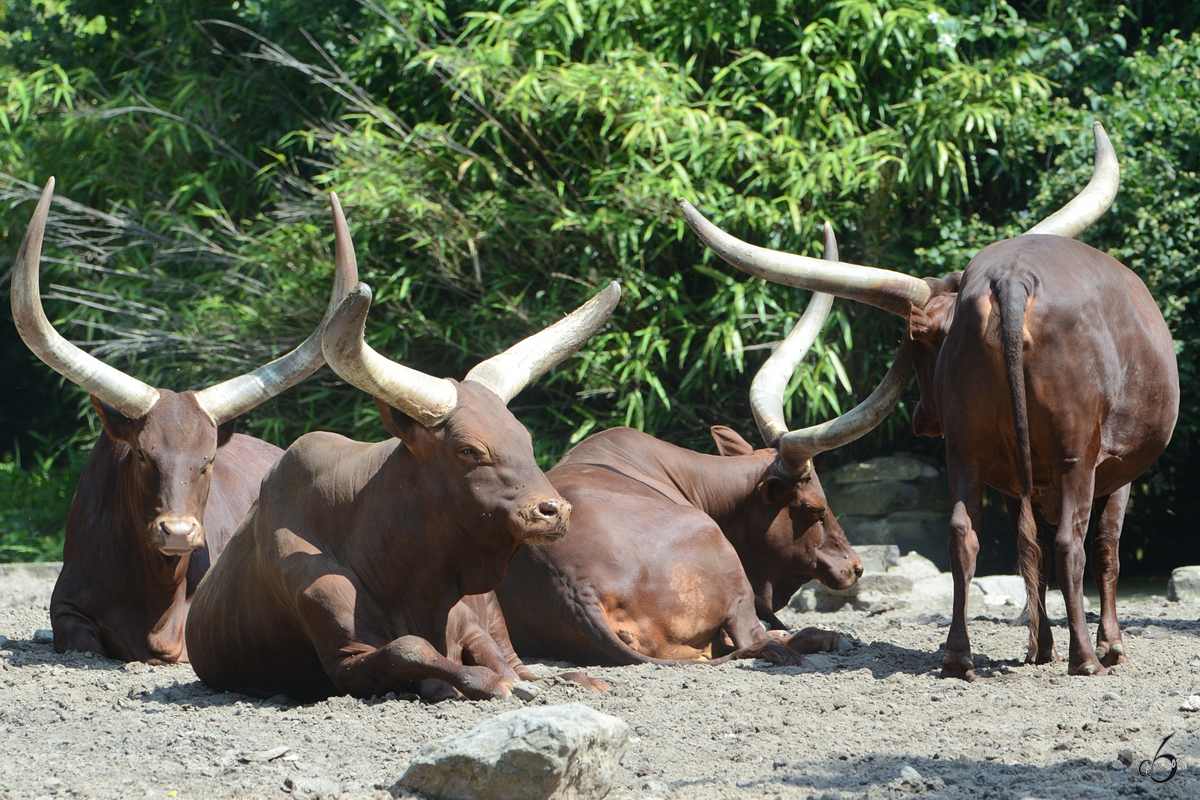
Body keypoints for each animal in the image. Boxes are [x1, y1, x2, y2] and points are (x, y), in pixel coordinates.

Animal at [184, 221, 628, 695]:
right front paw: (475, 684)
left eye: (524, 440)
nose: (554, 510)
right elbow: (410, 649)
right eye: (469, 450)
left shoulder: (472, 622)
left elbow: (496, 658)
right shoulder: (344, 658)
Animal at [496, 221, 907, 666]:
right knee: (755, 638)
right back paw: (825, 637)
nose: (855, 567)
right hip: (727, 570)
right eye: (814, 508)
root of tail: (575, 586)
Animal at [686, 122, 1180, 681]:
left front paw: (1039, 648)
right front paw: (1108, 646)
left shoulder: (1011, 477)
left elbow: (1028, 547)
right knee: (1068, 543)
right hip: (1073, 454)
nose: (922, 418)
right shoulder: (1112, 468)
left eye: (919, 345)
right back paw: (1084, 660)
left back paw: (959, 656)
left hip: (967, 451)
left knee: (970, 536)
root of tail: (1012, 280)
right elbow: (1104, 547)